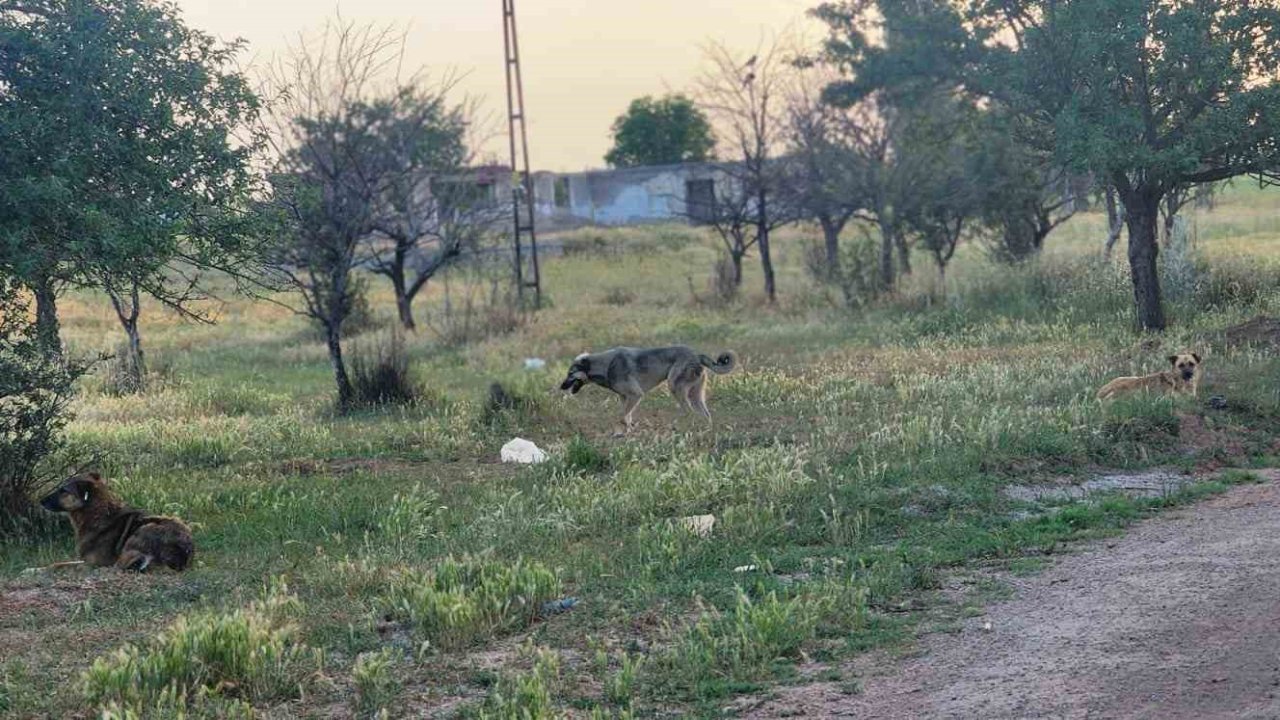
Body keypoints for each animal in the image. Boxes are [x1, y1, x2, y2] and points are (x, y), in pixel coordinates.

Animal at [37, 471, 193, 571]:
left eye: (63, 491)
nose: (40, 501)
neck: (98, 514)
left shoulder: (93, 563)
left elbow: (61, 565)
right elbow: (58, 563)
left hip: (145, 528)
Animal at [563, 345, 742, 427]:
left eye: (570, 373)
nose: (561, 387)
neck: (606, 365)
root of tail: (697, 355)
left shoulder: (635, 395)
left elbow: (622, 417)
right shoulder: (625, 398)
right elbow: (626, 416)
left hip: (675, 387)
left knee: (689, 412)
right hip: (695, 395)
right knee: (706, 415)